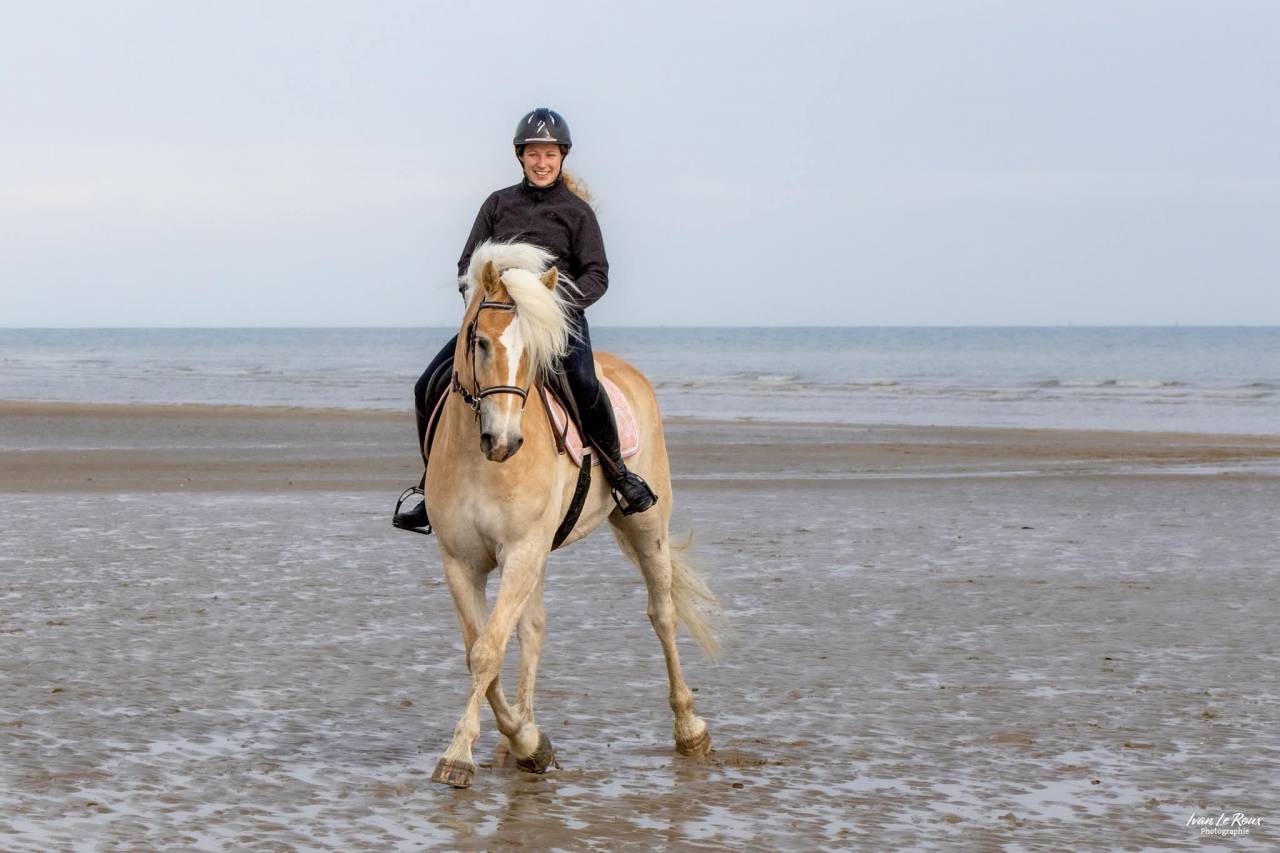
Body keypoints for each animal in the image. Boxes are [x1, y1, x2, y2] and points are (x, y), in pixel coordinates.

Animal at [423, 240, 722, 788]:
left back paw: (691, 729)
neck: (484, 464)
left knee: (663, 614)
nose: (504, 441)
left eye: (536, 355)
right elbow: (481, 651)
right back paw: (518, 739)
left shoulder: (520, 551)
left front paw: (458, 756)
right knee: (533, 629)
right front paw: (527, 741)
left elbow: (488, 651)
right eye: (480, 342)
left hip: (645, 526)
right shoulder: (462, 561)